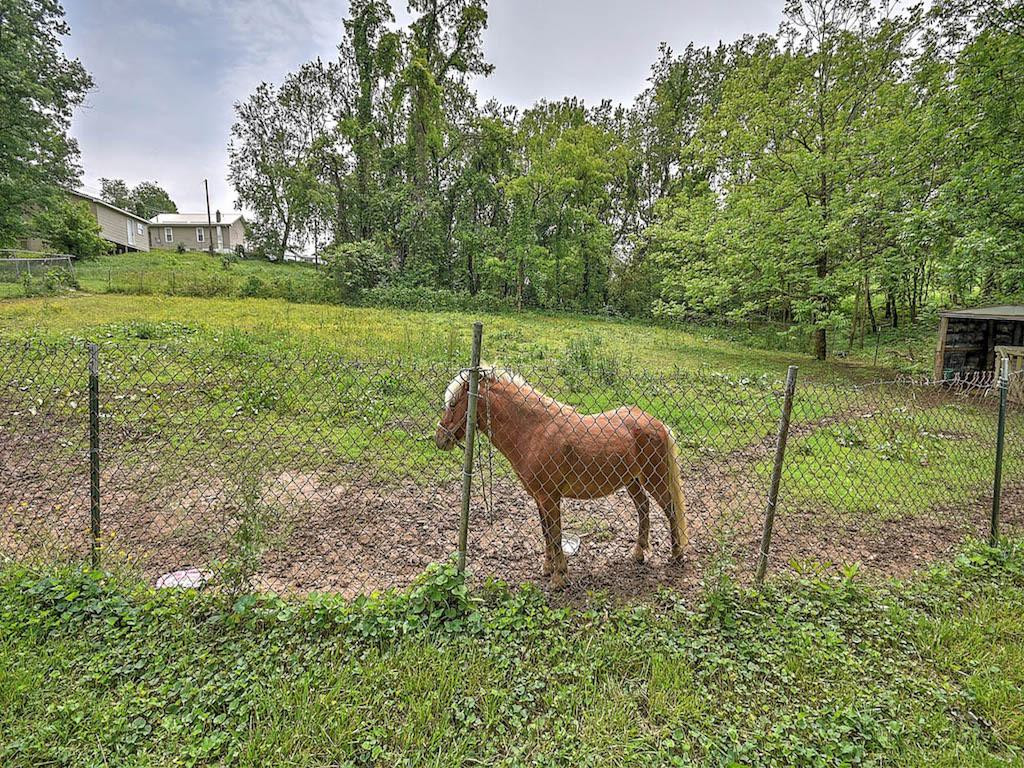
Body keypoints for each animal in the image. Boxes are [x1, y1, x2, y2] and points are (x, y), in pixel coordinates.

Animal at [435, 367, 688, 589]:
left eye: (453, 404)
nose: (440, 438)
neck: (534, 431)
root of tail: (657, 423)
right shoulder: (539, 499)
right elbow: (546, 533)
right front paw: (548, 568)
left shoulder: (550, 498)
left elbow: (556, 536)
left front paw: (559, 578)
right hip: (632, 481)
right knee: (643, 508)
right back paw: (638, 553)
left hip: (653, 479)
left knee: (670, 510)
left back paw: (676, 554)